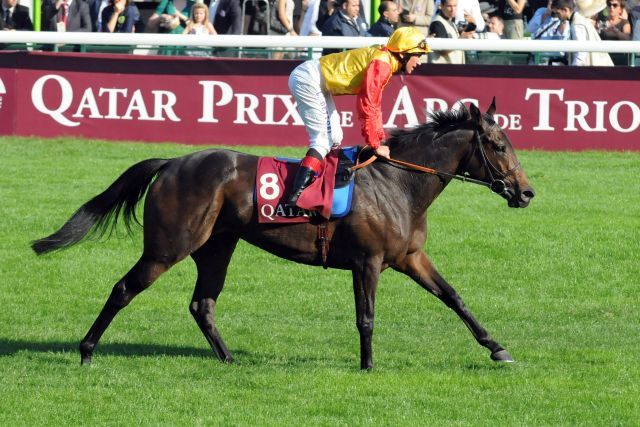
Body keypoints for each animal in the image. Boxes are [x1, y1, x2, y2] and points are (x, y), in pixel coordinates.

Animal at [33, 99, 536, 368]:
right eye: (497, 145)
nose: (526, 193)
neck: (397, 182)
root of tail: (173, 162)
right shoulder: (368, 261)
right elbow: (367, 317)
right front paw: (368, 364)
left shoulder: (410, 257)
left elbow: (454, 298)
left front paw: (498, 349)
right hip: (169, 245)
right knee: (123, 289)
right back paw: (86, 352)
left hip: (216, 246)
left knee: (202, 304)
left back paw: (229, 359)